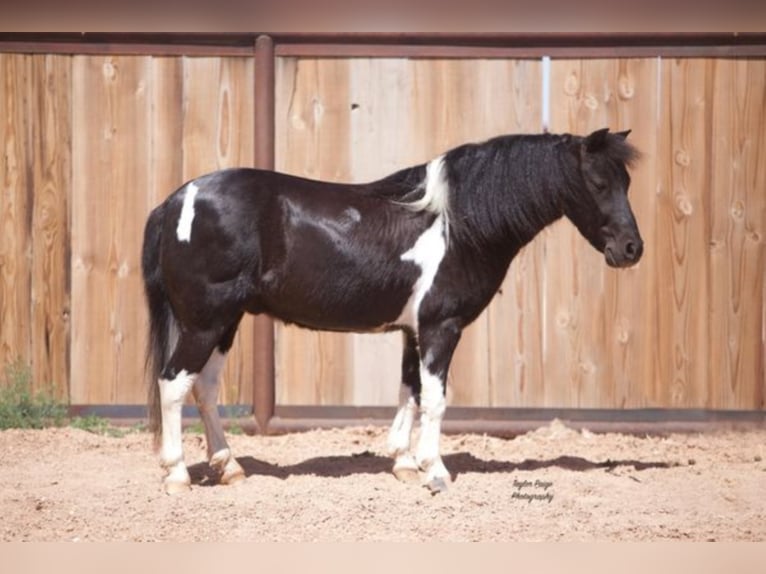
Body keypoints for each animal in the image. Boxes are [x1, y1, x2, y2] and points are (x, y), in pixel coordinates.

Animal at [142, 127, 640, 496]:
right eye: (599, 184)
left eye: (627, 183)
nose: (632, 249)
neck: (457, 224)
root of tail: (175, 200)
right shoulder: (442, 327)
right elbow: (436, 400)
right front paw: (434, 470)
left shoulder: (413, 330)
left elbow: (410, 392)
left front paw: (404, 463)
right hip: (204, 322)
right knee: (173, 384)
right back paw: (177, 474)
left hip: (224, 322)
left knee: (204, 387)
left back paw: (229, 467)